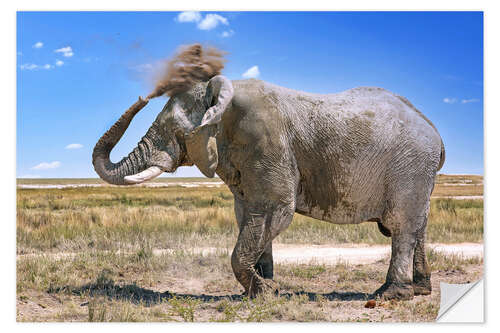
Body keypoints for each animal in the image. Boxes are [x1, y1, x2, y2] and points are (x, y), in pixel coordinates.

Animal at [93, 76, 446, 300]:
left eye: (174, 131)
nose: (142, 96)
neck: (223, 93)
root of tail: (434, 130)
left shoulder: (265, 142)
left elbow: (273, 210)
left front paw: (266, 292)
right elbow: (248, 215)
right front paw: (262, 287)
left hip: (409, 166)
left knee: (402, 226)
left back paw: (390, 294)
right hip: (417, 173)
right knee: (419, 225)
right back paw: (420, 290)